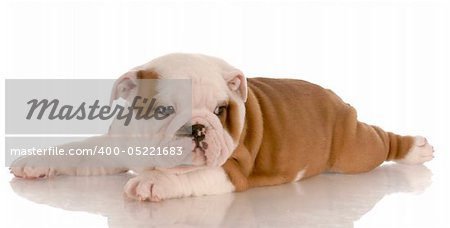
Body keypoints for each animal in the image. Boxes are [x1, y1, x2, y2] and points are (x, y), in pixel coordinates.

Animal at [9, 53, 432, 201]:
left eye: (220, 110)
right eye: (164, 110)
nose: (198, 128)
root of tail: (333, 96)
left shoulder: (230, 170)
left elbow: (186, 176)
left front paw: (155, 182)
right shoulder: (116, 145)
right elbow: (77, 151)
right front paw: (34, 161)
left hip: (354, 149)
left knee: (381, 142)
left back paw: (416, 147)